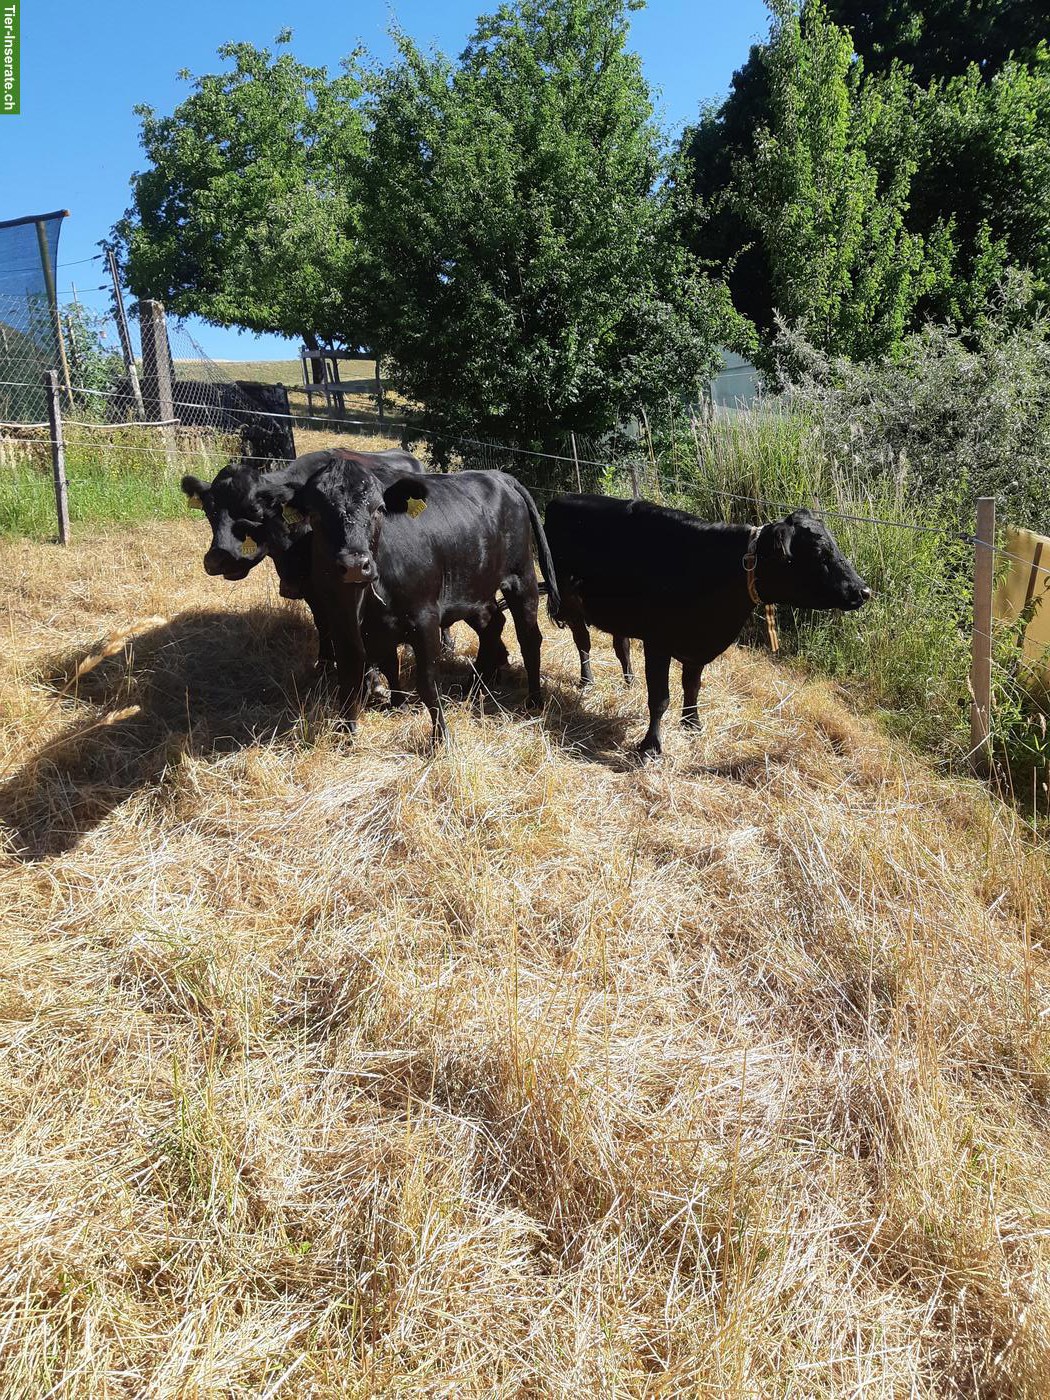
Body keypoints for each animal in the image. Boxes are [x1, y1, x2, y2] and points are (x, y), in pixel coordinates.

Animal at [268, 458, 561, 743]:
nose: (354, 565)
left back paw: (534, 700)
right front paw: (348, 734)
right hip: (475, 589)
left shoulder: (425, 619)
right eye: (315, 514)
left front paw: (441, 739)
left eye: (379, 509)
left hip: (521, 577)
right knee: (493, 625)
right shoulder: (343, 622)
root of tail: (499, 475)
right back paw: (473, 687)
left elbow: (427, 683)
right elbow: (354, 676)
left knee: (529, 637)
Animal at [544, 495, 871, 759]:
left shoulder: (699, 645)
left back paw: (629, 680)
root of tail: (560, 498)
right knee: (583, 642)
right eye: (818, 553)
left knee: (620, 644)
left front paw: (692, 723)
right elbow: (660, 698)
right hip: (569, 602)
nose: (863, 590)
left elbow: (692, 685)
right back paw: (587, 680)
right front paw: (651, 746)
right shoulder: (657, 642)